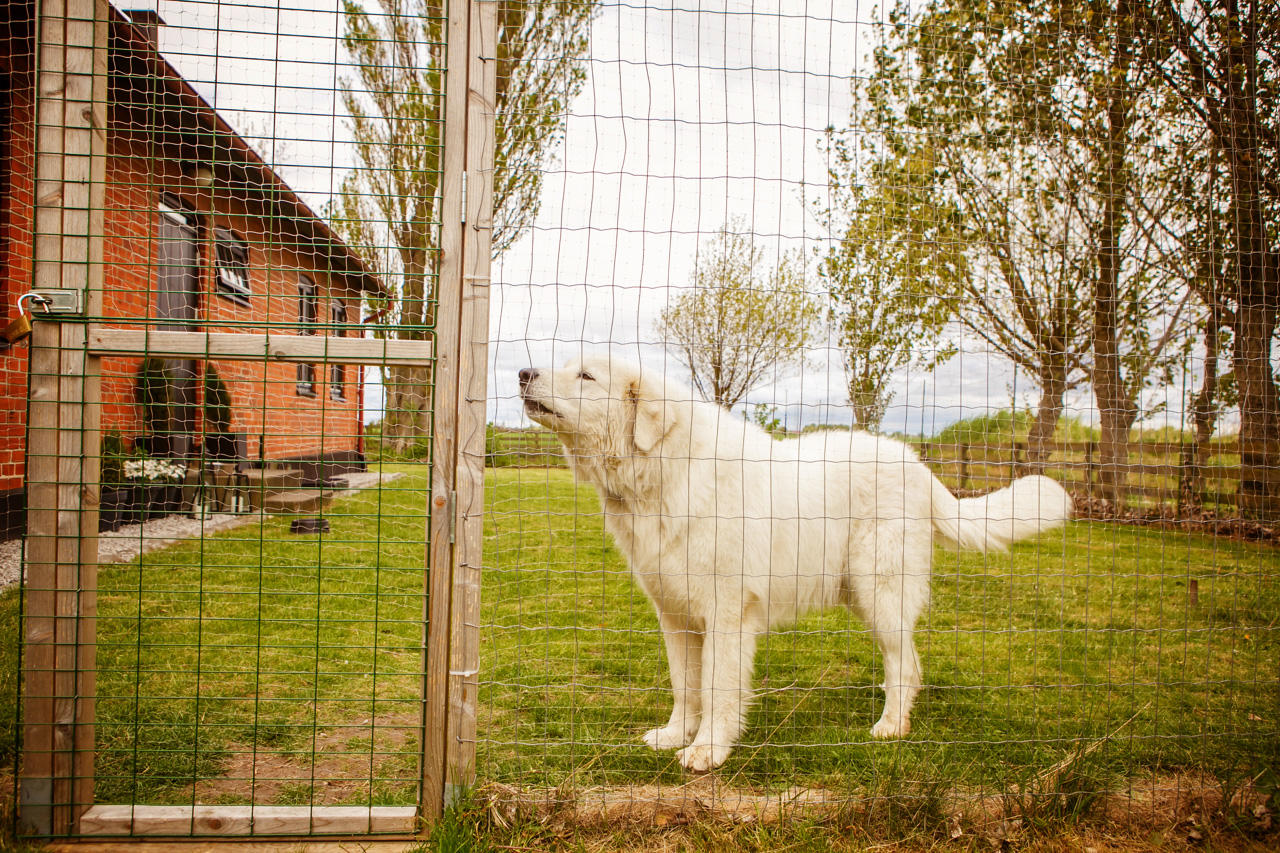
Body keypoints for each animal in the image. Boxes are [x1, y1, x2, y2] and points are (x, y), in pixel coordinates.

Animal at [517, 350, 1070, 768]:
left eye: (586, 376)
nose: (523, 373)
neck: (660, 471)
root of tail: (917, 464)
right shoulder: (674, 614)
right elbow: (684, 686)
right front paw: (676, 735)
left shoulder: (727, 613)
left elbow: (717, 687)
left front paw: (708, 751)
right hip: (860, 594)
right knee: (906, 661)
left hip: (881, 591)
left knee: (905, 662)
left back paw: (891, 725)